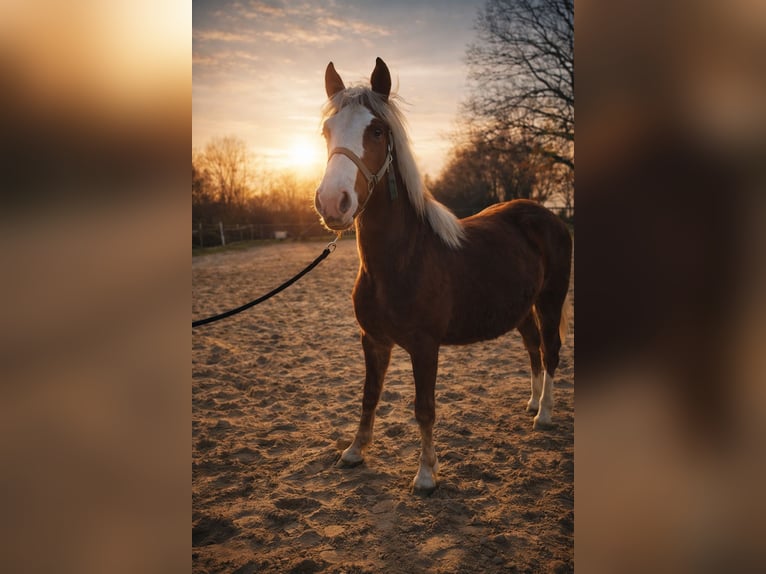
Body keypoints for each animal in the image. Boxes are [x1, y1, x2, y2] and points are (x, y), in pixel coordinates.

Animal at [314, 58, 572, 493]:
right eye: (327, 130)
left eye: (377, 130)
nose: (334, 203)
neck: (401, 261)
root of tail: (547, 215)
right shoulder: (373, 340)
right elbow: (369, 395)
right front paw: (354, 451)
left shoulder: (424, 346)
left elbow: (424, 408)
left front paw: (425, 474)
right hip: (522, 310)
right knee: (534, 349)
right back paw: (533, 403)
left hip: (551, 300)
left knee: (551, 350)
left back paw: (545, 415)